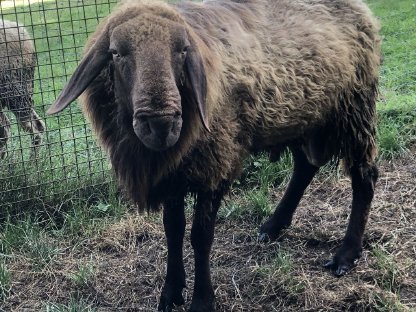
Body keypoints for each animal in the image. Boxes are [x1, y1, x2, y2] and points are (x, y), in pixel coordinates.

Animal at [48, 1, 380, 310]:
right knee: (304, 168)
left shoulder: (215, 164)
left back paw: (346, 254)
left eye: (183, 50)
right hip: (303, 114)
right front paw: (171, 292)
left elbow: (201, 236)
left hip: (353, 109)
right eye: (117, 53)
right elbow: (173, 230)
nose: (161, 123)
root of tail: (363, 10)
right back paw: (273, 225)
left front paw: (202, 300)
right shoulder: (173, 173)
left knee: (364, 177)